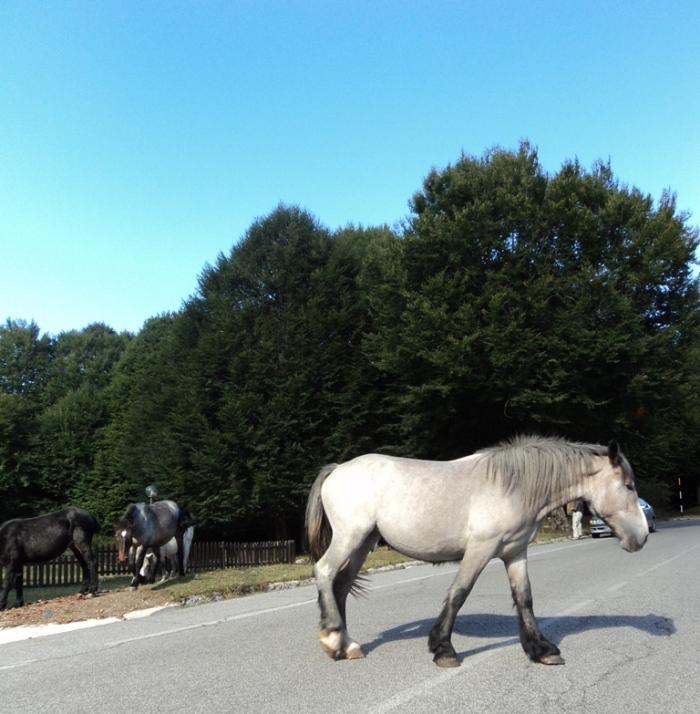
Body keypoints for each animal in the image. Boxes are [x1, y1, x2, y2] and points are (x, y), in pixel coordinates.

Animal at [306, 434, 652, 668]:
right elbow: (459, 593)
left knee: (341, 585)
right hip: (350, 537)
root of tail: (337, 469)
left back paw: (347, 645)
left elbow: (524, 597)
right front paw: (443, 649)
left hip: (364, 542)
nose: (642, 537)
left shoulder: (515, 552)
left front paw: (541, 649)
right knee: (324, 572)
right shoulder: (480, 550)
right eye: (628, 486)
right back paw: (332, 637)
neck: (515, 487)